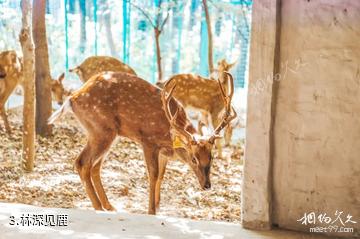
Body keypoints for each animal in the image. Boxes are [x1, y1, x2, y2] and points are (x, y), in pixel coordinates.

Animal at [48, 71, 236, 215]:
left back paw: (109, 206)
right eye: (194, 159)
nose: (207, 185)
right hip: (100, 129)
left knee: (94, 166)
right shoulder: (148, 141)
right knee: (82, 162)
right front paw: (151, 211)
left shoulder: (163, 152)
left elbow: (161, 175)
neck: (170, 134)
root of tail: (72, 98)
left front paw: (158, 206)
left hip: (107, 134)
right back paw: (99, 207)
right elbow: (153, 174)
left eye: (211, 157)